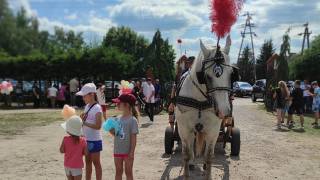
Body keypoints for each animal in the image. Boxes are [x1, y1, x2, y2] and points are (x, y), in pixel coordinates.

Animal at [175, 37, 238, 179]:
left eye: (231, 74)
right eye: (207, 76)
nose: (224, 111)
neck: (199, 100)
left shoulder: (213, 131)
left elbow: (209, 156)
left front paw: (206, 167)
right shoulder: (184, 129)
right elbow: (186, 155)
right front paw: (189, 166)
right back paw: (193, 162)